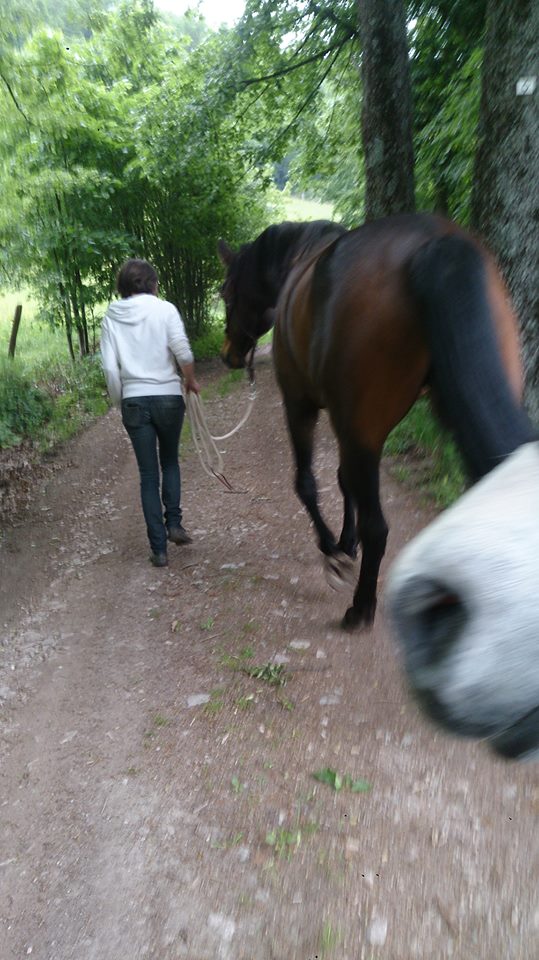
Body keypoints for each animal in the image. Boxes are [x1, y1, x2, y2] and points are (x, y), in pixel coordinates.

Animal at [217, 214, 532, 632]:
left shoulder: (303, 406)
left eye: (226, 292)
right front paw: (347, 542)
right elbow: (343, 481)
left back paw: (360, 608)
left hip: (360, 429)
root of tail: (432, 241)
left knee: (378, 527)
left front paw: (332, 549)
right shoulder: (347, 424)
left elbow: (308, 484)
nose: (229, 355)